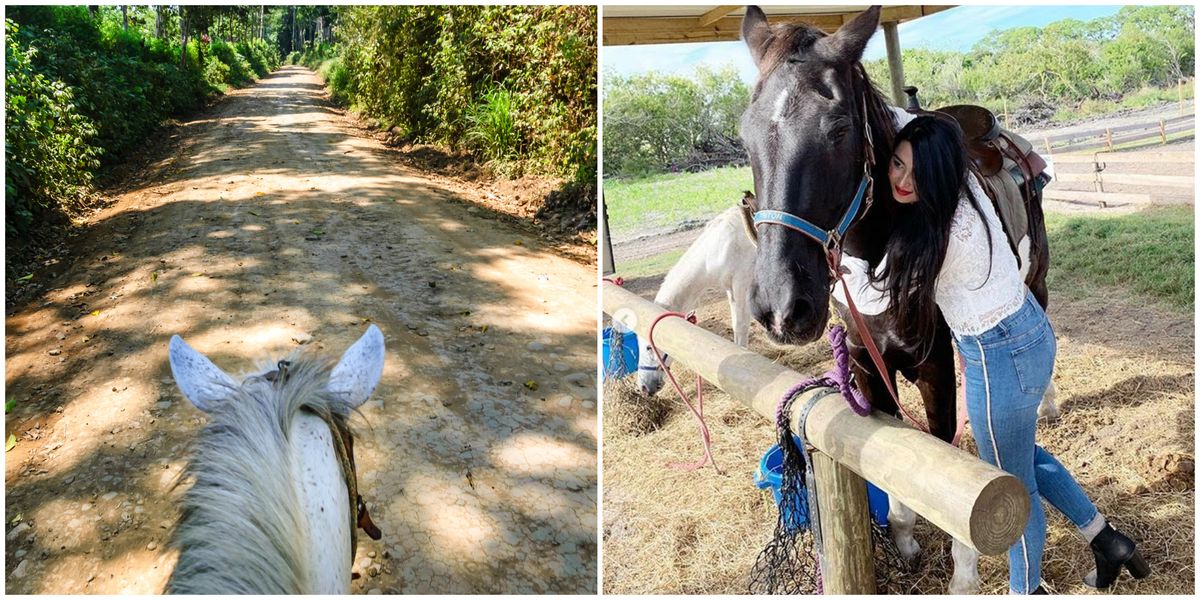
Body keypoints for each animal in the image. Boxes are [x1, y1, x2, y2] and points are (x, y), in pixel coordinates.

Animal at [638, 203, 758, 395]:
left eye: (649, 346)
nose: (643, 388)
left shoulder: (742, 284)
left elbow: (741, 326)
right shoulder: (730, 289)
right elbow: (735, 325)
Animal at [738, 5, 1053, 593]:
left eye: (839, 130)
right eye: (745, 137)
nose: (780, 306)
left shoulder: (936, 367)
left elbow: (944, 454)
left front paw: (963, 574)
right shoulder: (866, 366)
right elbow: (894, 452)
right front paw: (904, 537)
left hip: (1037, 277)